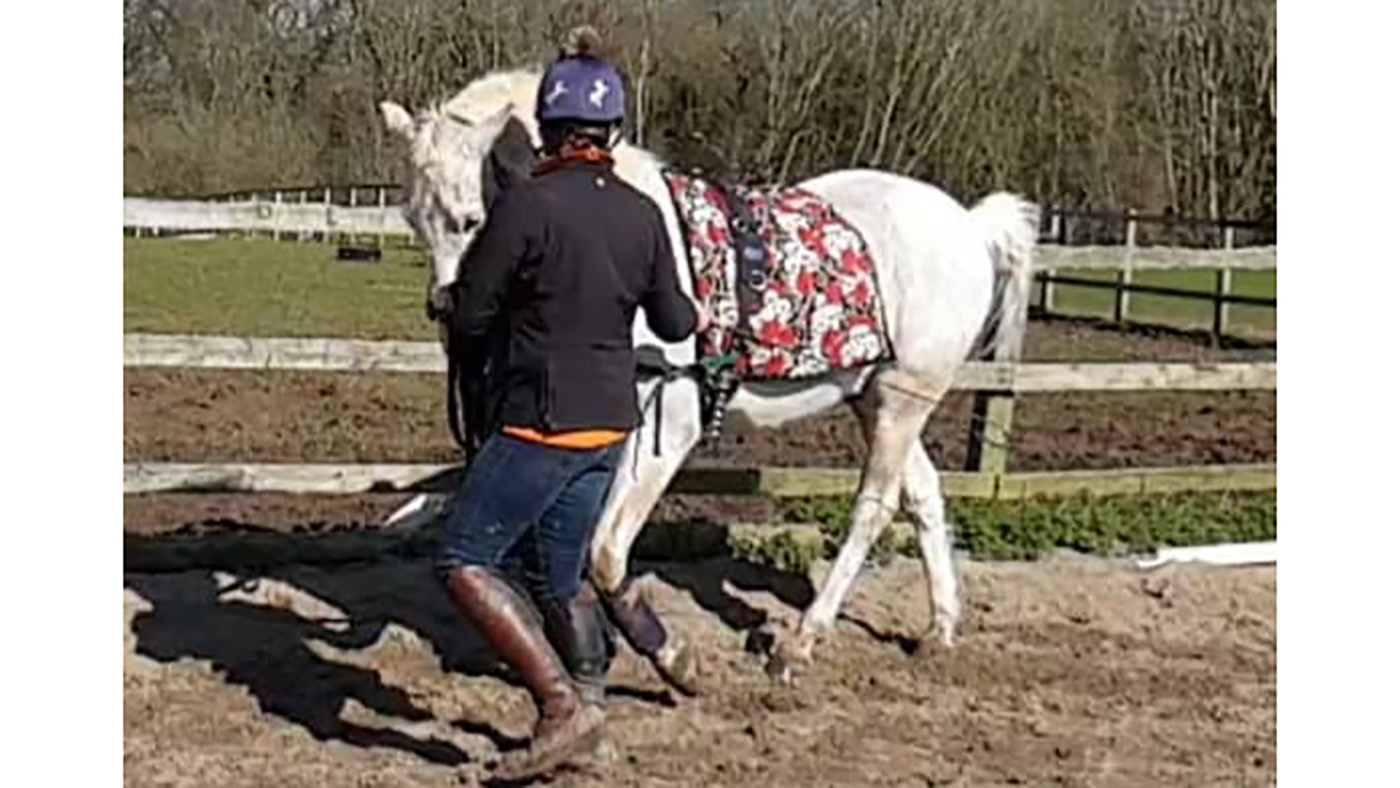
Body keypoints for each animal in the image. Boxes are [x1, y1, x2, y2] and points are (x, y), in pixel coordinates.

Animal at [378, 68, 1039, 676]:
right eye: (413, 220)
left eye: (470, 219)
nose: (450, 315)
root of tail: (970, 227)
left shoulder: (669, 423)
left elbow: (606, 546)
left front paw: (663, 654)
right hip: (875, 397)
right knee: (923, 495)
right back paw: (939, 629)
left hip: (904, 400)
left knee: (873, 507)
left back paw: (801, 640)